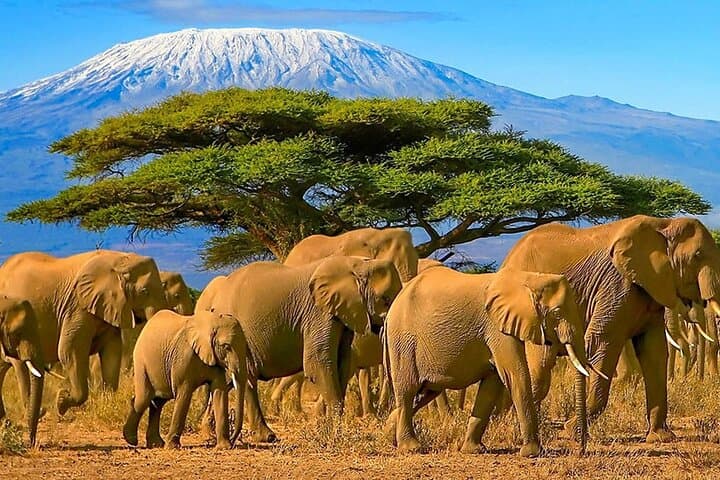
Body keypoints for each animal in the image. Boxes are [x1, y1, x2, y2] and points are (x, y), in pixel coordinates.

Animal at [0, 250, 168, 416]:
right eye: (144, 291)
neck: (121, 259)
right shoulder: (77, 307)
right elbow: (69, 350)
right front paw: (61, 402)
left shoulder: (107, 306)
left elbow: (112, 351)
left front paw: (107, 402)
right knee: (20, 366)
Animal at [123, 310, 246, 449]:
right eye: (226, 346)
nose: (234, 439)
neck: (211, 322)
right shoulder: (183, 356)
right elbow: (183, 394)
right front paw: (172, 447)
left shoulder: (214, 359)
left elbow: (219, 392)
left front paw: (224, 447)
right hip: (141, 361)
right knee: (143, 399)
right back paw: (131, 440)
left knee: (158, 402)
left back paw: (156, 444)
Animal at [205, 256, 402, 443]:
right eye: (385, 300)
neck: (358, 263)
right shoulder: (319, 313)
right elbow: (317, 363)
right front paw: (333, 435)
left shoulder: (342, 315)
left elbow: (343, 365)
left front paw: (327, 430)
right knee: (244, 379)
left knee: (237, 380)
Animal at [384, 267, 593, 456]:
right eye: (557, 313)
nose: (580, 450)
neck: (529, 278)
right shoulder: (496, 328)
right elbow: (515, 375)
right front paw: (533, 453)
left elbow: (492, 384)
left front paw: (474, 450)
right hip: (403, 341)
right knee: (408, 390)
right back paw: (411, 448)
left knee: (425, 393)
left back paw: (389, 434)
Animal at [501, 215, 720, 442]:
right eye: (697, 255)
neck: (663, 224)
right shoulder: (616, 285)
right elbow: (603, 342)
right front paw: (572, 431)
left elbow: (654, 351)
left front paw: (661, 437)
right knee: (540, 366)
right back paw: (517, 430)